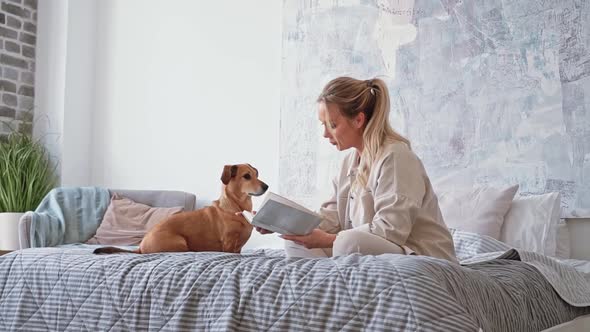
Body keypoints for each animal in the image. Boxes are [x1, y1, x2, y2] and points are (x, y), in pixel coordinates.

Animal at [93, 163, 270, 254]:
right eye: (246, 176)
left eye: (256, 174)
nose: (266, 187)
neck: (234, 207)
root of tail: (140, 248)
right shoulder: (228, 245)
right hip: (180, 243)